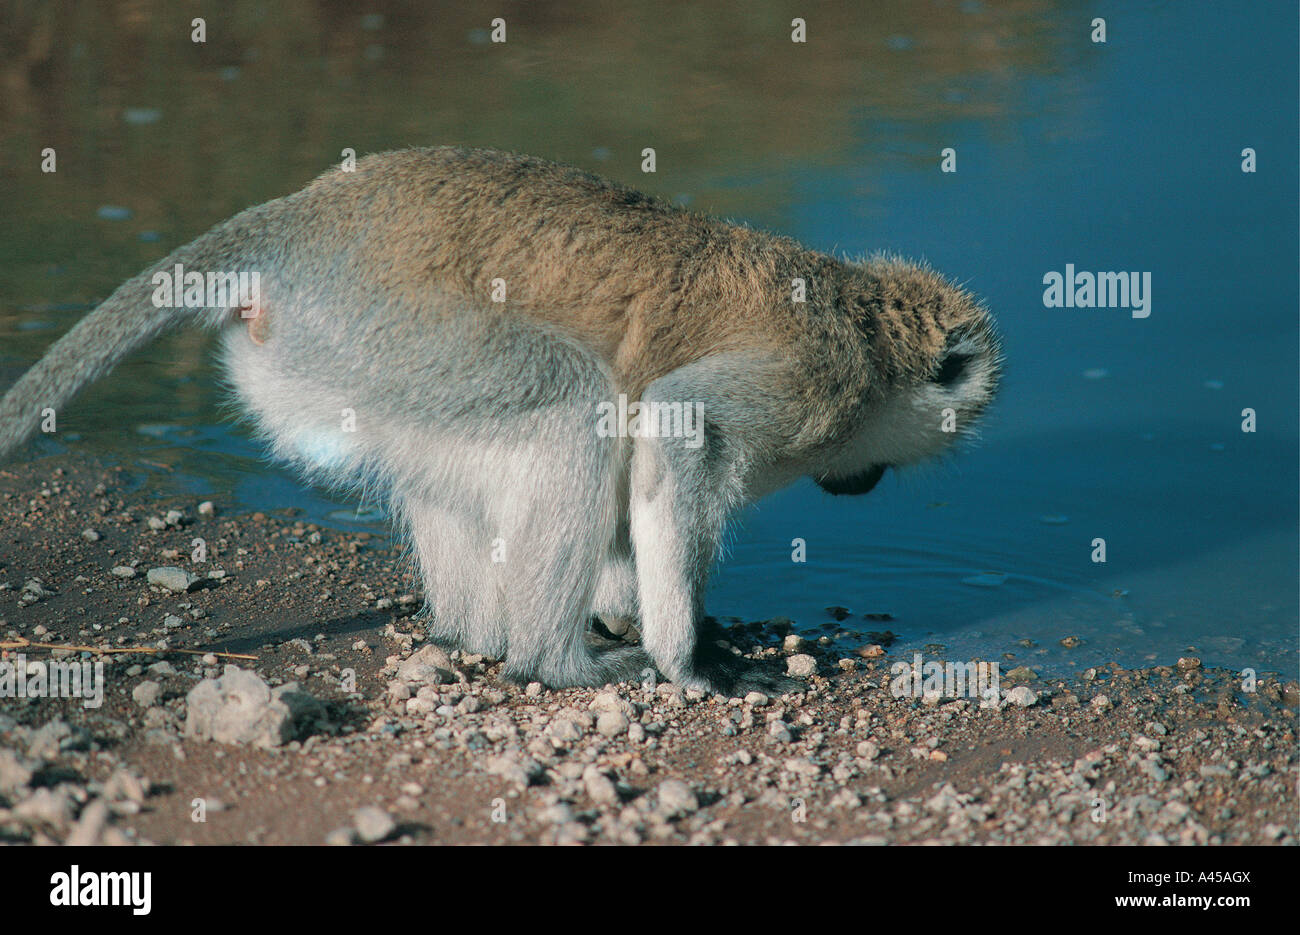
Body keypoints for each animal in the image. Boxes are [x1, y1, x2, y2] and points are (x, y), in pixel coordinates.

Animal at [0, 148, 1003, 697]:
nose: (862, 481)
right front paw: (688, 658)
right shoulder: (814, 378)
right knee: (575, 409)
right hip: (384, 329)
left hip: (342, 369)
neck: (866, 326)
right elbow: (676, 424)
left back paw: (482, 640)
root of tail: (302, 224)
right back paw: (554, 663)